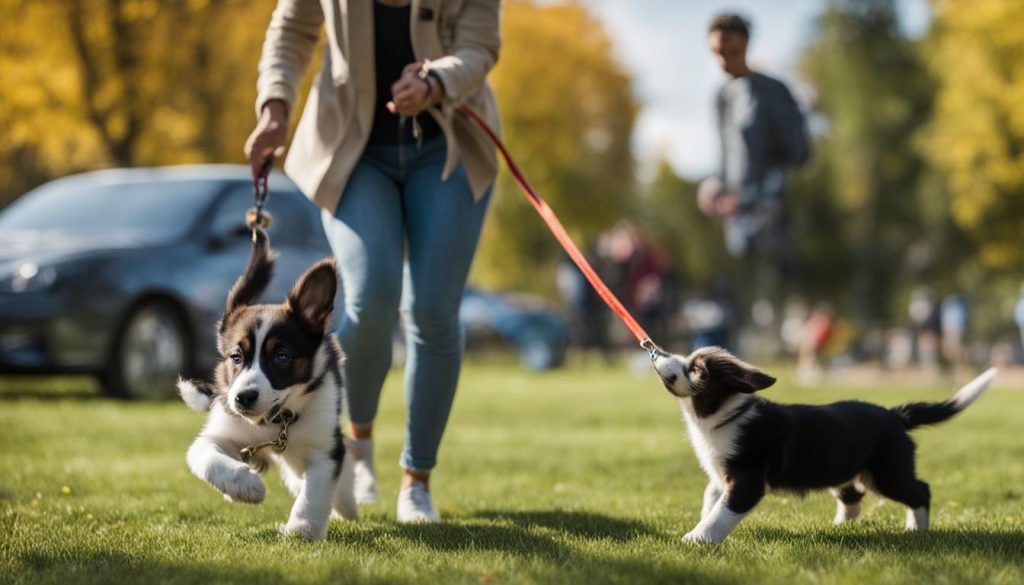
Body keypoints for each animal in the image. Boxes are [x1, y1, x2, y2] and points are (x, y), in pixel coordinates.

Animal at [174, 231, 354, 540]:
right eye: (236, 357)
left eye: (281, 357)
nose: (243, 397)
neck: (275, 421)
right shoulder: (221, 431)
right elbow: (207, 457)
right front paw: (245, 485)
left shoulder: (325, 446)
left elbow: (315, 491)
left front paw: (302, 529)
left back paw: (346, 502)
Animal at [651, 348, 995, 545]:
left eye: (697, 370)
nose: (659, 358)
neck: (722, 415)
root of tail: (896, 416)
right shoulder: (719, 476)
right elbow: (710, 501)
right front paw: (699, 528)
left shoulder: (747, 479)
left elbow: (722, 511)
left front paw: (698, 539)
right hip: (848, 469)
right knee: (853, 496)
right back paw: (842, 526)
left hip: (888, 472)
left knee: (921, 490)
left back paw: (916, 529)